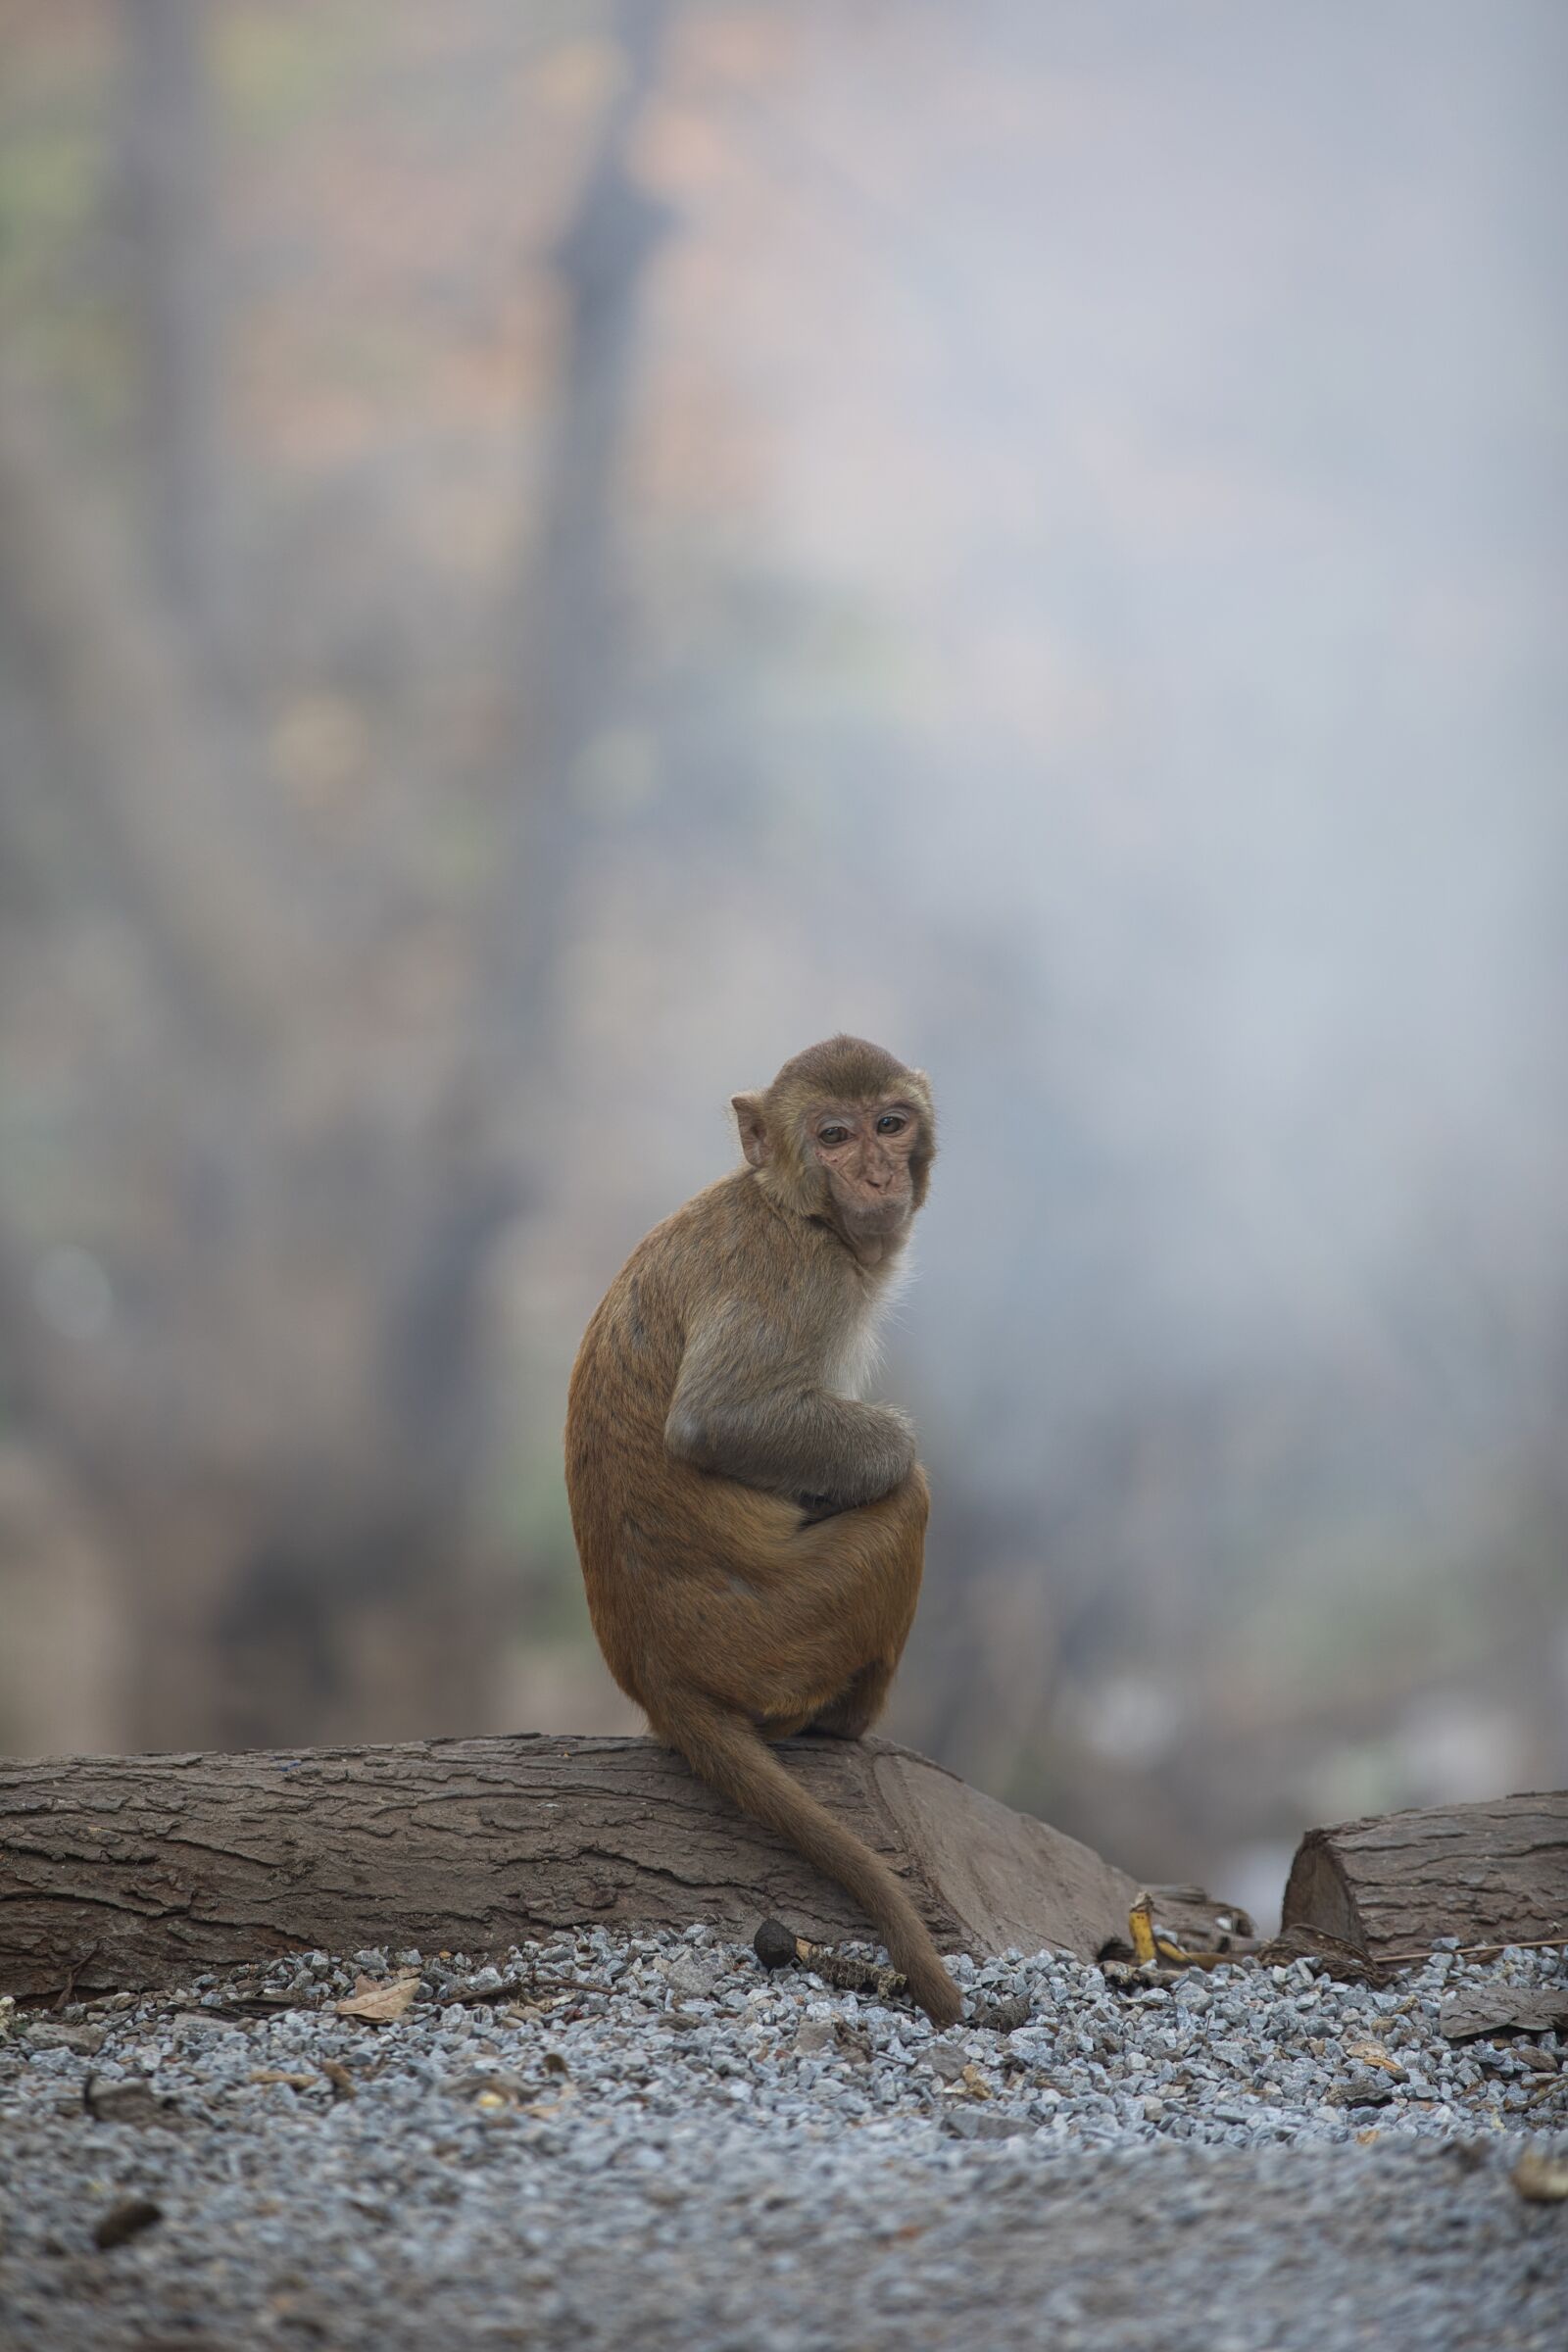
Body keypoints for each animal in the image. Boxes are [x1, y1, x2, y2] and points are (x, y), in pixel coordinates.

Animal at [562, 1039, 958, 2032]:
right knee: (908, 1504)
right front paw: (888, 1448)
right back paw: (845, 1722)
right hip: (778, 1636)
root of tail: (657, 1677)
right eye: (834, 1135)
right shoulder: (796, 1273)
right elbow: (719, 1420)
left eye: (890, 1123)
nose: (876, 1173)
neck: (791, 1205)